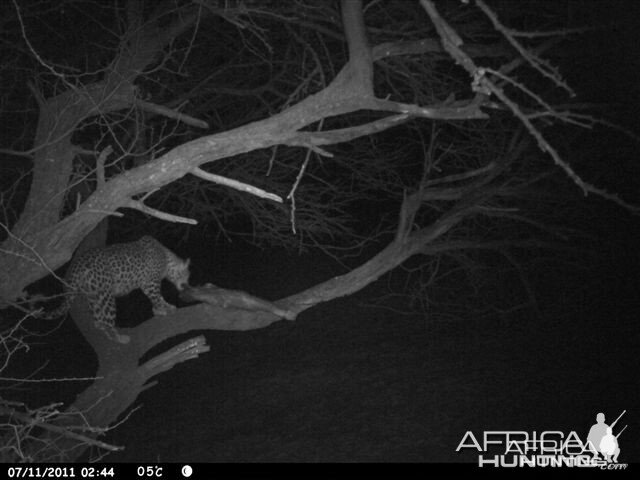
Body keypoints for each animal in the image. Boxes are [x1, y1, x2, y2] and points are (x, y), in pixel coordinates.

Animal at [39, 235, 190, 342]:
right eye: (187, 276)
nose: (186, 286)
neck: (167, 259)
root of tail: (78, 264)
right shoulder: (150, 283)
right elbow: (157, 297)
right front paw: (161, 310)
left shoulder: (146, 284)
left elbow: (159, 297)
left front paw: (166, 307)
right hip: (106, 295)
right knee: (106, 321)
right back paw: (120, 338)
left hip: (93, 294)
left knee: (98, 321)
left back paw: (109, 333)